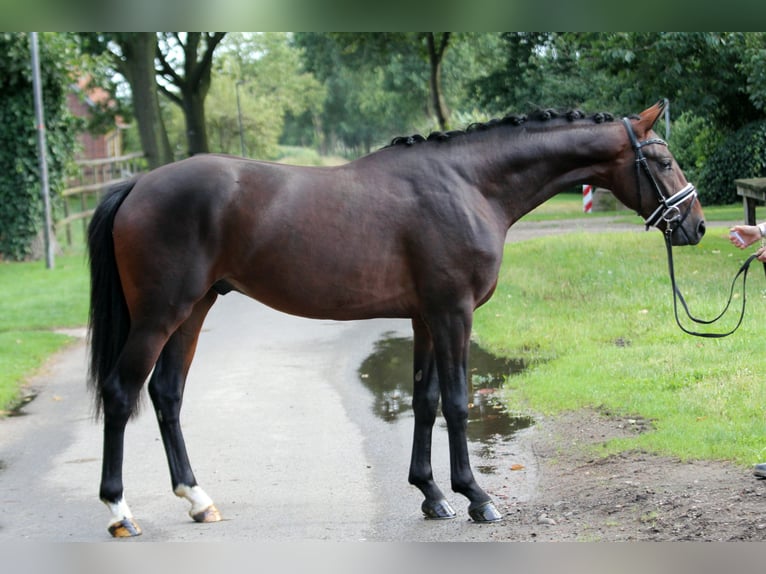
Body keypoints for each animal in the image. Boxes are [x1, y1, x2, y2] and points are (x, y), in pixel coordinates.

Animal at [87, 100, 704, 540]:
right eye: (664, 159)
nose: (695, 225)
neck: (469, 185)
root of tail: (137, 183)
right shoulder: (453, 313)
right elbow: (457, 402)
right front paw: (476, 497)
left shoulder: (425, 317)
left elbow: (425, 400)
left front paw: (431, 495)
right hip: (160, 315)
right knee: (122, 393)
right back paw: (119, 511)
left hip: (194, 310)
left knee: (167, 394)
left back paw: (198, 500)